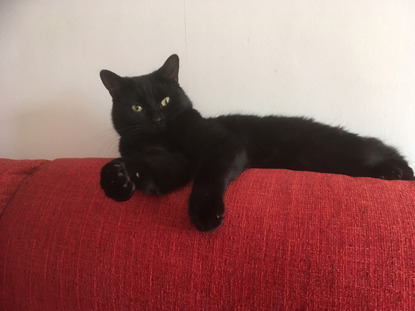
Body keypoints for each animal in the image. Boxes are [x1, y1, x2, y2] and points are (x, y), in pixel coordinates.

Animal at [99, 54, 414, 233]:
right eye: (136, 108)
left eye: (165, 100)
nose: (156, 118)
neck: (168, 136)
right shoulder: (171, 164)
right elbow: (153, 171)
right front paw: (118, 178)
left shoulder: (226, 144)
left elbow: (208, 176)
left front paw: (205, 214)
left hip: (336, 152)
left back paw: (394, 172)